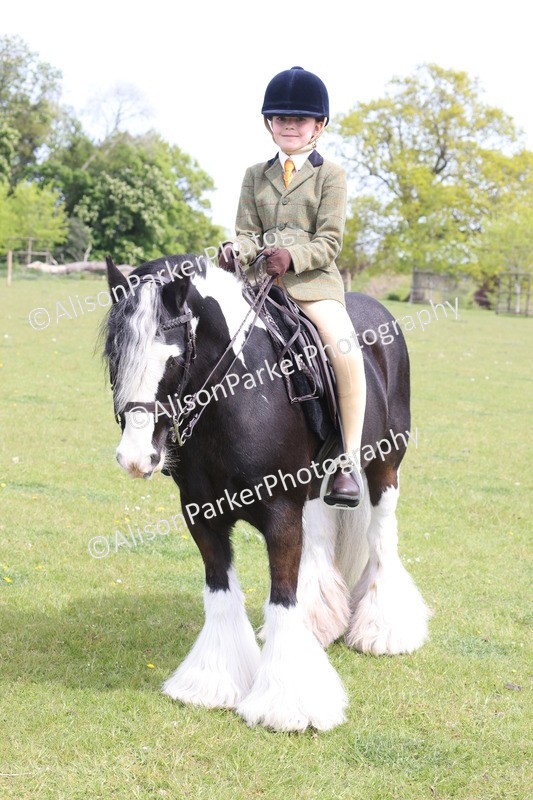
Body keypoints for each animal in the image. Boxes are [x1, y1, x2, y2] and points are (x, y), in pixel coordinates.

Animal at [102, 252, 430, 732]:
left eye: (174, 359)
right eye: (115, 355)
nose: (135, 457)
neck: (239, 396)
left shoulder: (280, 515)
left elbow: (282, 598)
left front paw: (288, 702)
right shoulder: (201, 514)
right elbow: (221, 592)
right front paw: (212, 683)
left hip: (385, 464)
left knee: (382, 536)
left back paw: (385, 630)